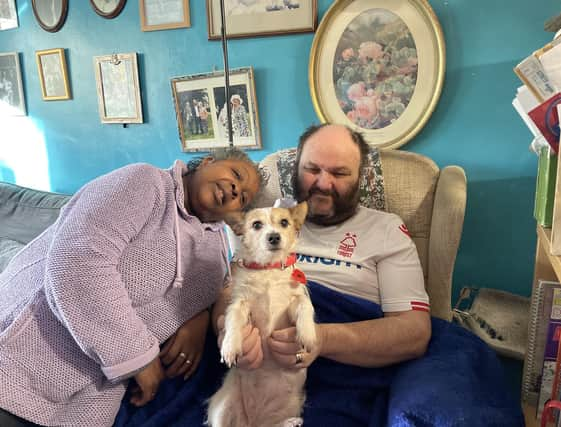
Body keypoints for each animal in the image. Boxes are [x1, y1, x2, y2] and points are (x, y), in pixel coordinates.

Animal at [208, 203, 318, 427]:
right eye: (256, 225)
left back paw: (290, 422)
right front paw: (230, 345)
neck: (268, 268)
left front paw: (307, 334)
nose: (274, 236)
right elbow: (233, 319)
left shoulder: (295, 299)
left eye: (284, 222)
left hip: (291, 404)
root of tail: (252, 424)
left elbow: (305, 306)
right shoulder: (240, 303)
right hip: (223, 404)